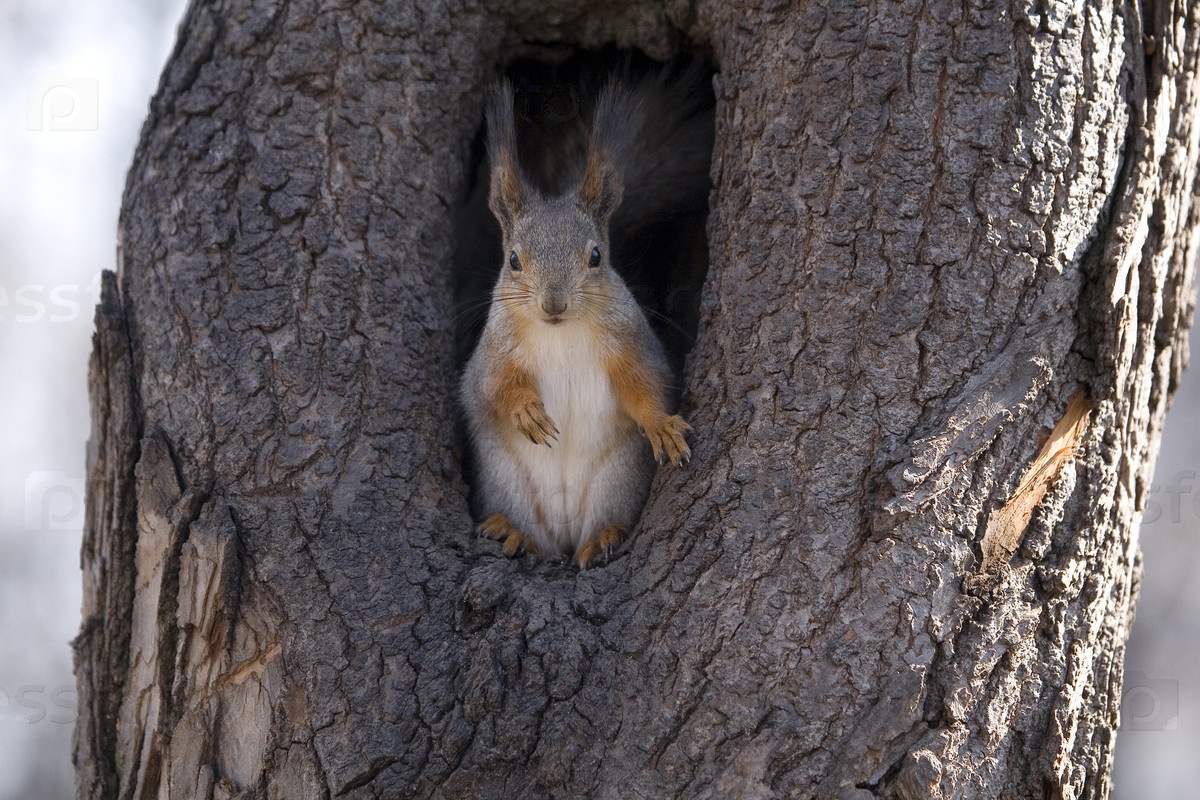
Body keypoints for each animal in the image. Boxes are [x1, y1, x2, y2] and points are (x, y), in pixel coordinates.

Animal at [456, 62, 700, 568]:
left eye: (595, 256)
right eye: (513, 259)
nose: (553, 303)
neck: (561, 334)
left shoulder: (629, 343)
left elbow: (644, 387)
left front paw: (663, 426)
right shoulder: (494, 355)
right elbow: (494, 388)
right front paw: (526, 411)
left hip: (617, 482)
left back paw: (604, 537)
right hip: (508, 486)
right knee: (537, 538)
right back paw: (512, 533)